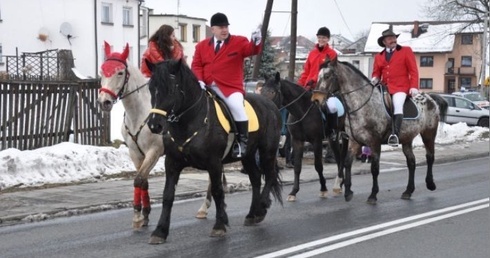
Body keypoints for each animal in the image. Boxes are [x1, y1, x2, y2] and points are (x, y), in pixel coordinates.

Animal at [97, 40, 220, 228]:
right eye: (102, 71)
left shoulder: (154, 151)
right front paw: (145, 213)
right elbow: (143, 181)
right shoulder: (135, 153)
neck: (140, 114)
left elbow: (139, 179)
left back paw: (204, 208)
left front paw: (138, 215)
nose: (104, 102)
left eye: (120, 72)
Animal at [145, 59, 282, 245]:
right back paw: (252, 214)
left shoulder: (214, 163)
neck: (190, 122)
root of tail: (270, 104)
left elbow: (217, 191)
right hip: (248, 155)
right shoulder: (172, 163)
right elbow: (167, 195)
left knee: (269, 176)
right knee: (255, 178)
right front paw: (160, 231)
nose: (154, 125)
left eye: (171, 89)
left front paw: (219, 225)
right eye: (151, 88)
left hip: (268, 150)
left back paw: (261, 208)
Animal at [262, 72, 346, 202]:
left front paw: (323, 189)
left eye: (272, 92)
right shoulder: (297, 141)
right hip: (334, 138)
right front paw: (293, 192)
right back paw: (339, 183)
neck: (302, 110)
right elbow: (297, 167)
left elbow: (318, 166)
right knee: (339, 157)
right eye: (261, 90)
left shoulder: (316, 141)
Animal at [314, 58, 448, 204]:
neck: (362, 104)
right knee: (411, 162)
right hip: (407, 138)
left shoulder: (374, 143)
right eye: (318, 76)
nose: (316, 99)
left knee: (430, 157)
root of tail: (430, 97)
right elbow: (347, 163)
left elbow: (374, 169)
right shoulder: (354, 142)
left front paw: (373, 195)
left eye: (327, 76)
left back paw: (430, 184)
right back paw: (408, 191)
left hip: (429, 134)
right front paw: (348, 192)